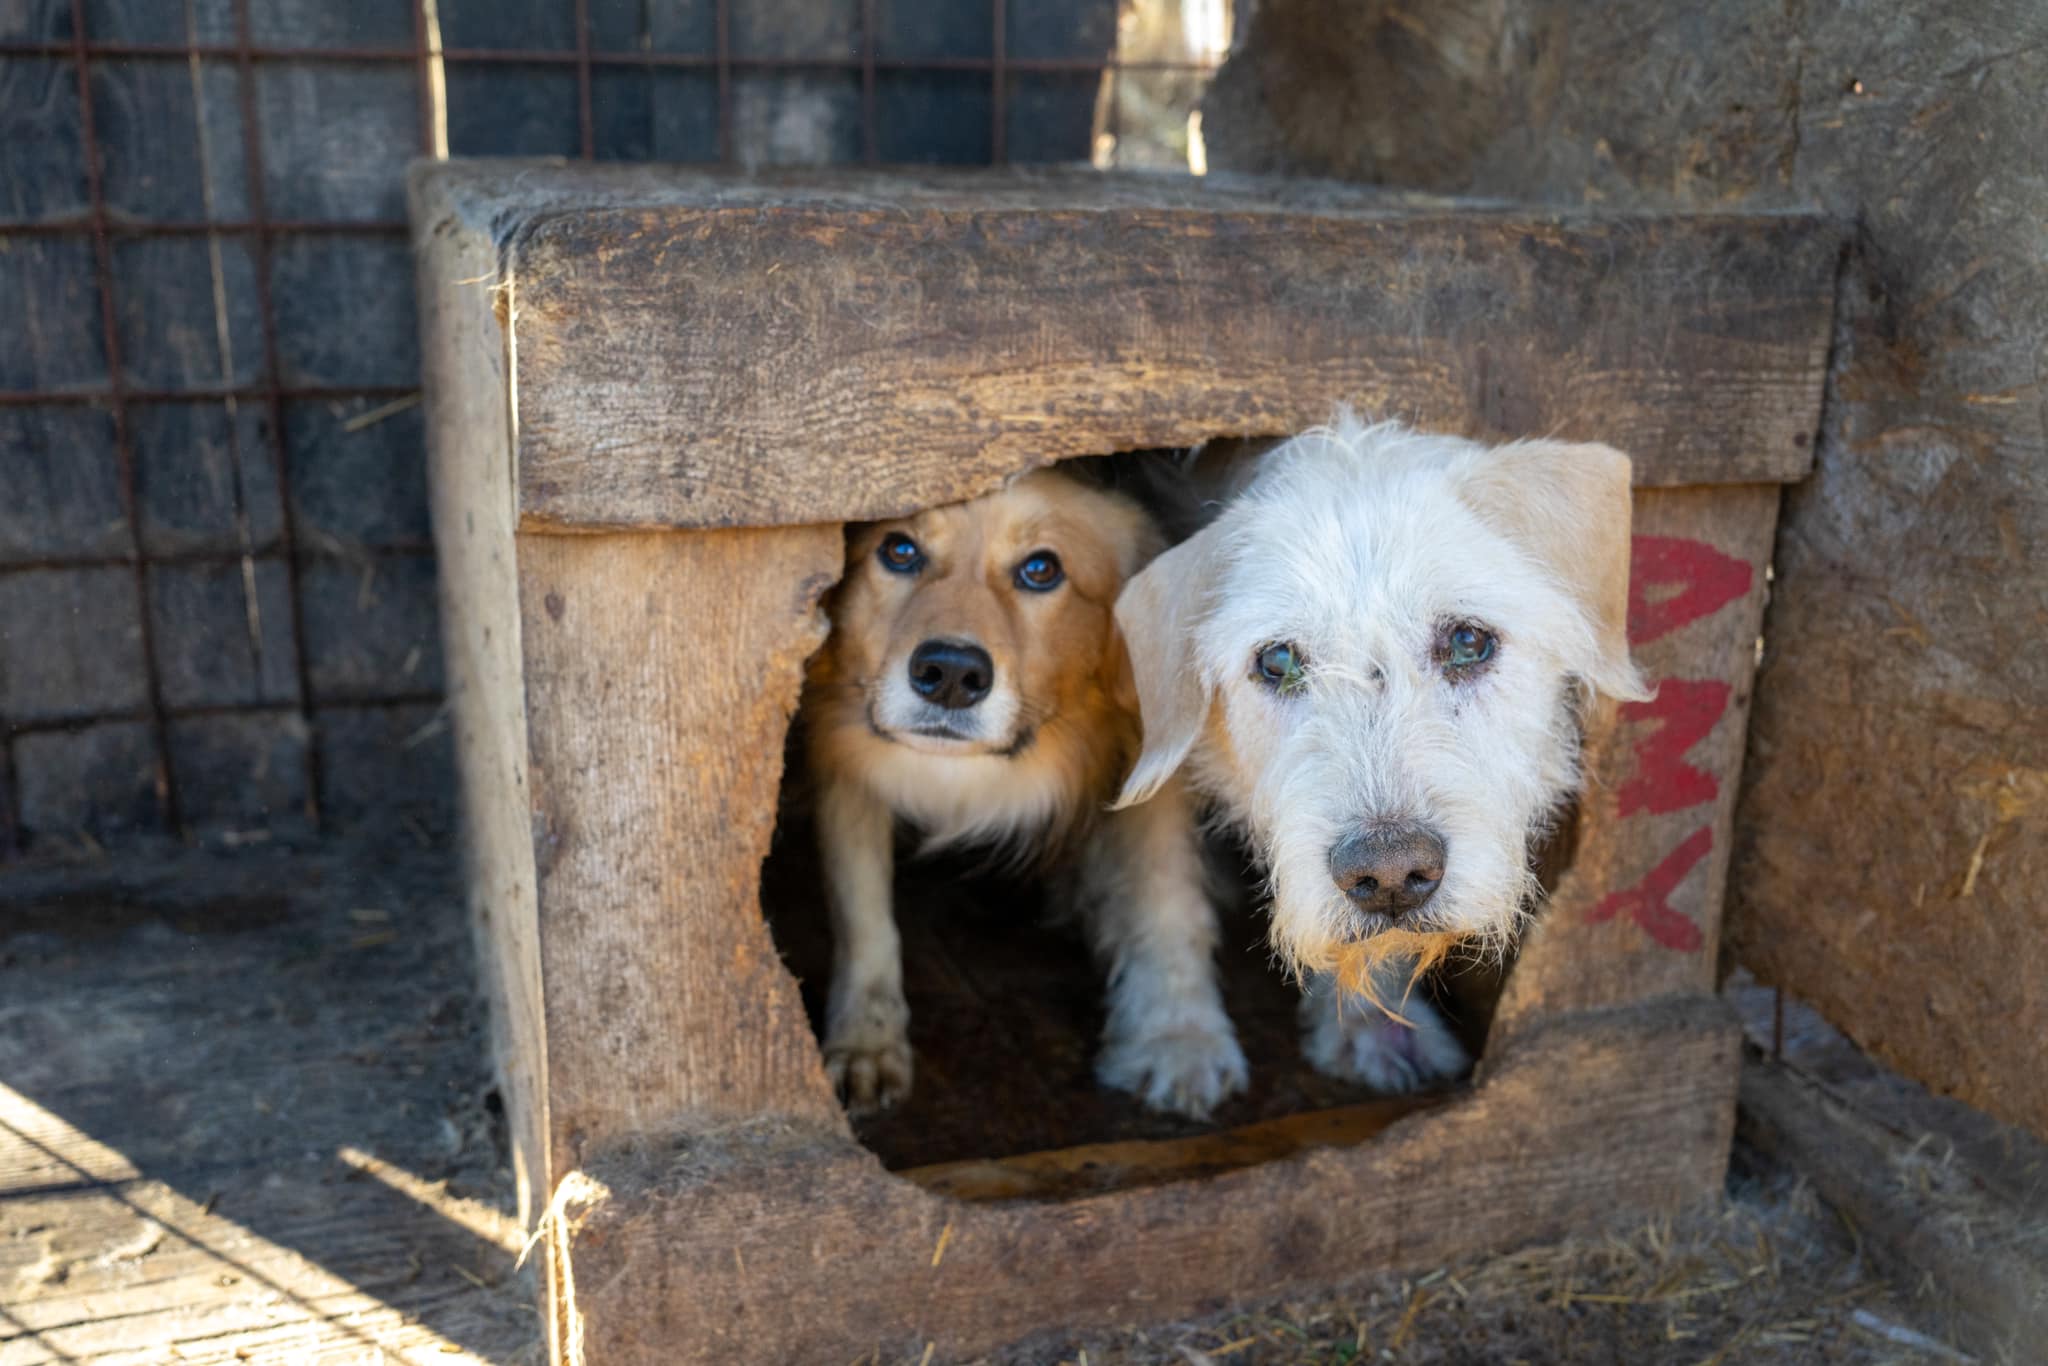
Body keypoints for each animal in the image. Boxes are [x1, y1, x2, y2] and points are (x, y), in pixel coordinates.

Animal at [802, 471, 1245, 1122]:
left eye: (1041, 569)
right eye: (899, 550)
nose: (951, 674)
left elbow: (1165, 896)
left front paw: (1178, 1035)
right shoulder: (841, 756)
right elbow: (863, 913)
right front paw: (867, 1040)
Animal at [1114, 413, 1638, 1089]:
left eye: (1468, 641)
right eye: (1277, 662)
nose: (1389, 872)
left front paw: (1375, 1025)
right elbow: (1159, 886)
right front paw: (1176, 1038)